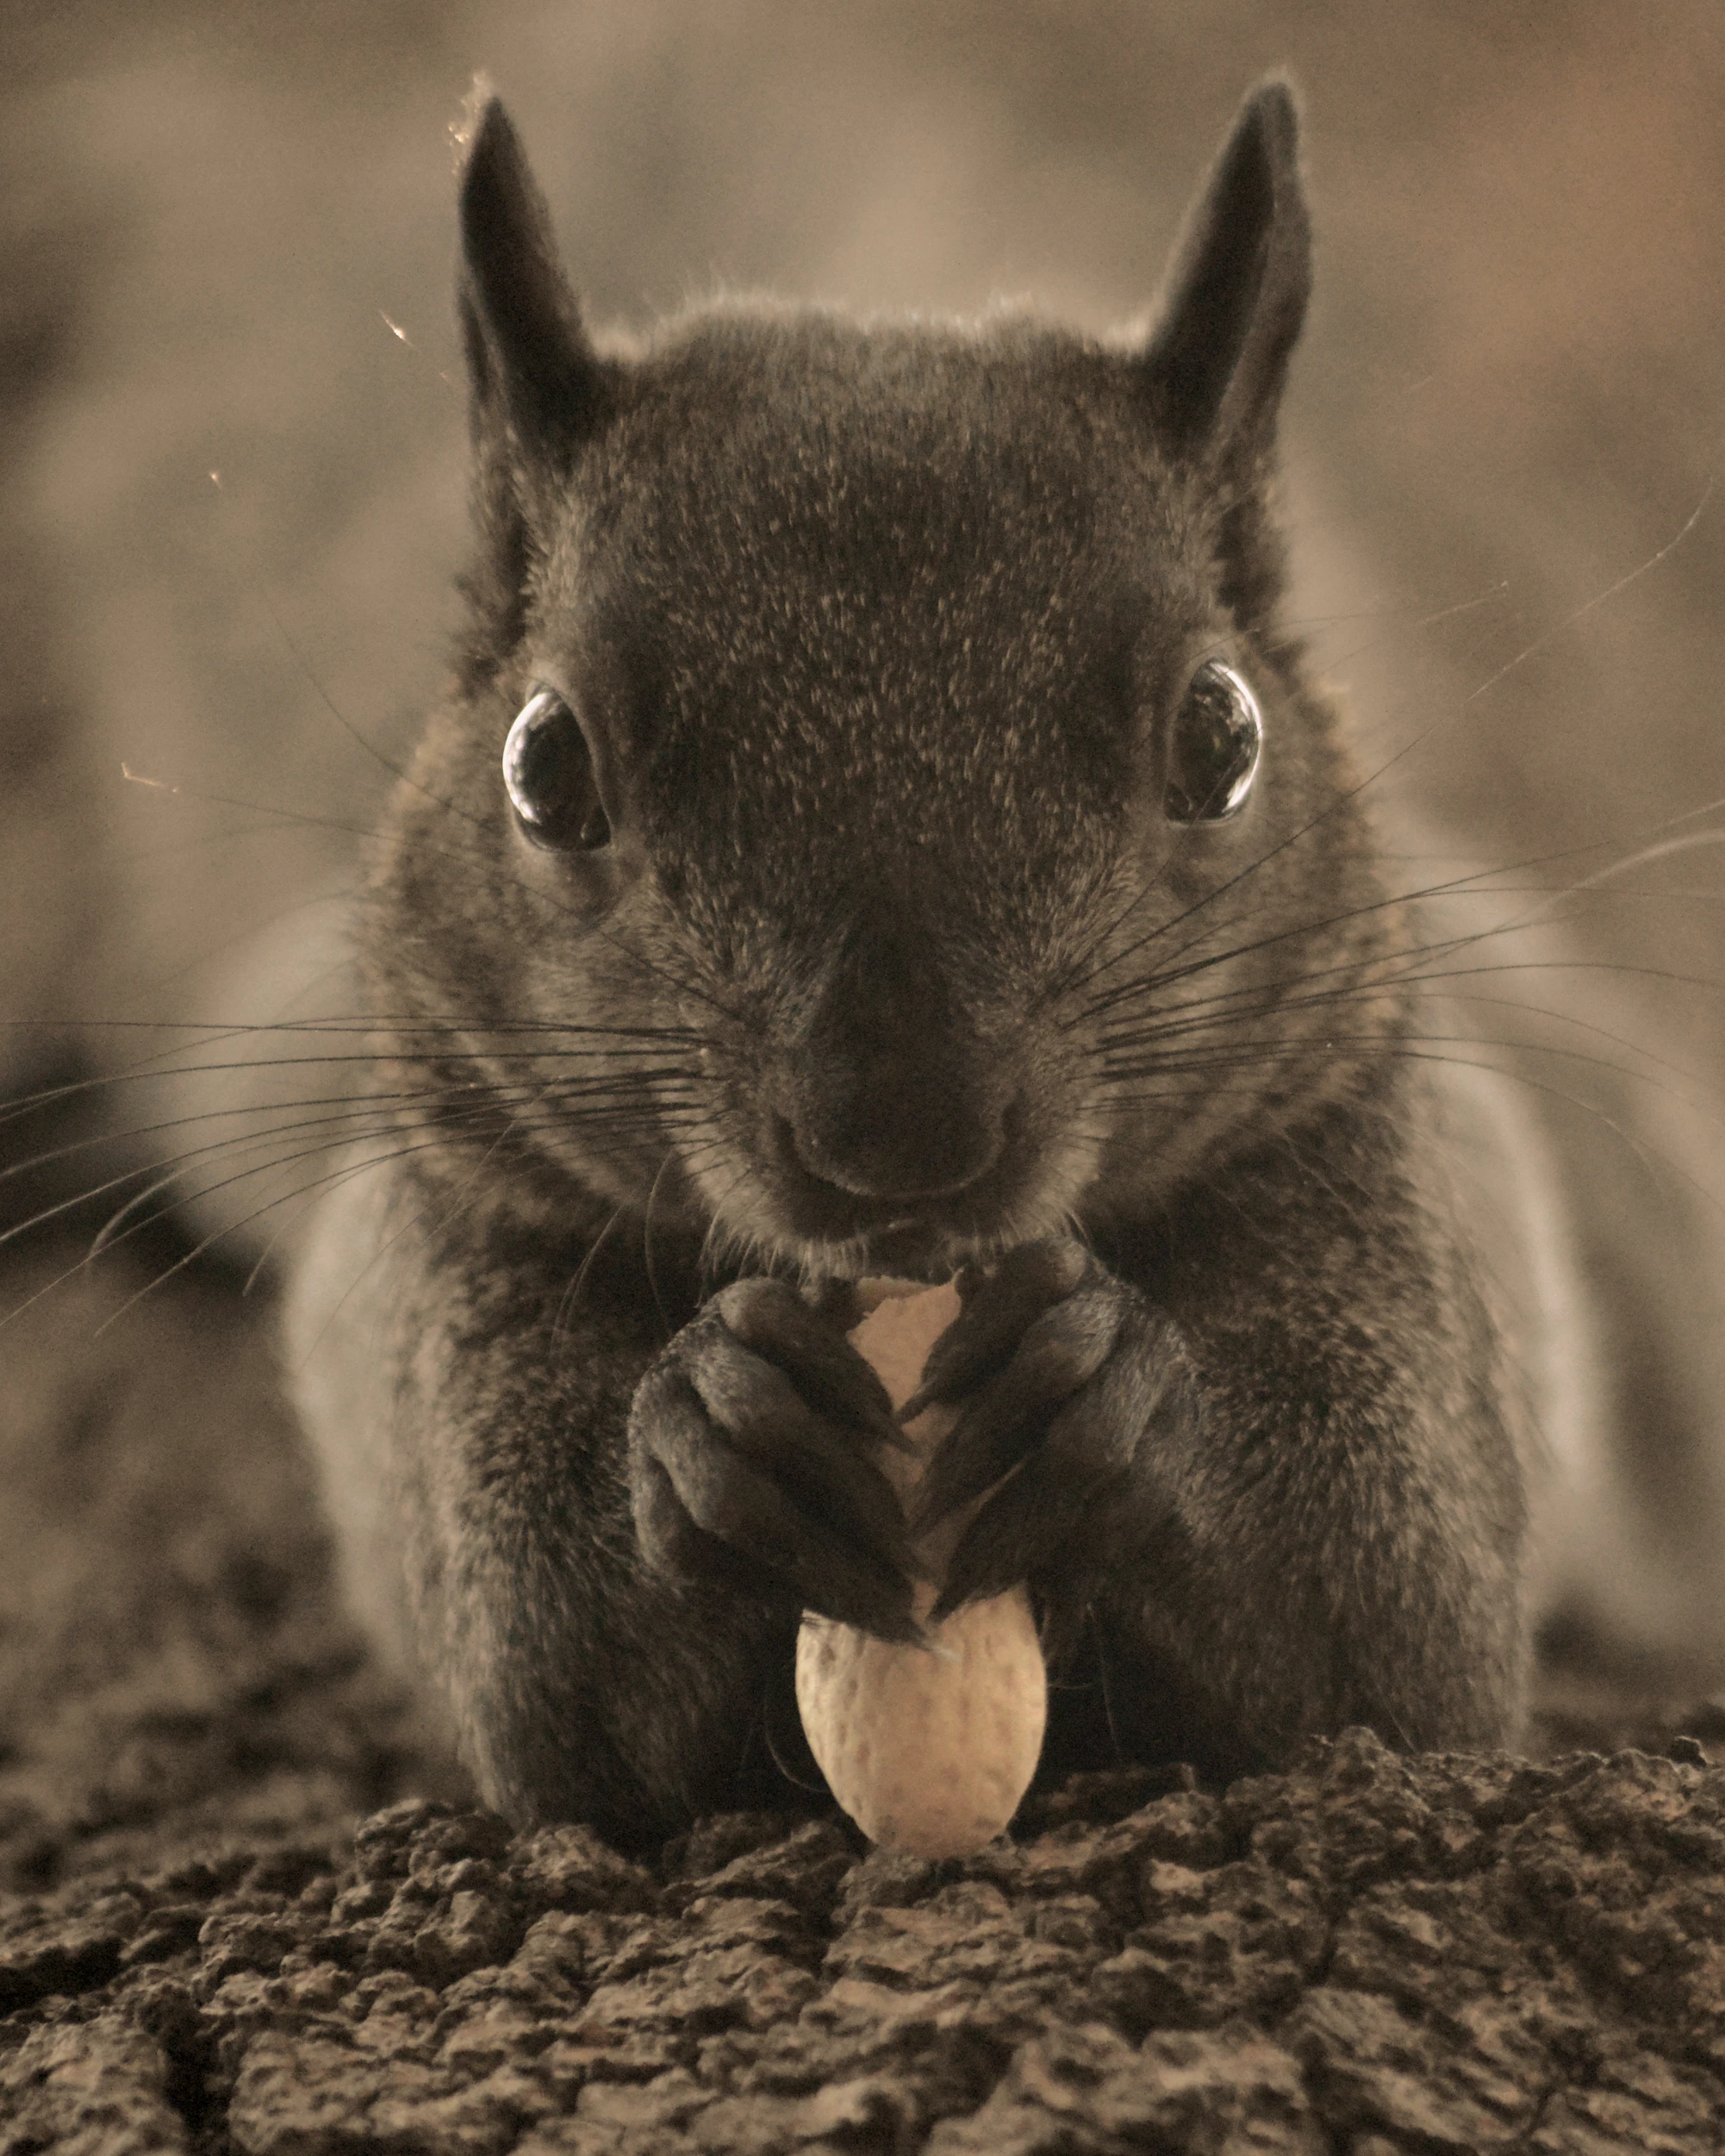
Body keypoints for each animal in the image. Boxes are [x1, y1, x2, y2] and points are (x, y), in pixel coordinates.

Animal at [282, 76, 1725, 1845]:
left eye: (1221, 736)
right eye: (543, 763)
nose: (902, 1133)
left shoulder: (1388, 1181)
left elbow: (1387, 1621)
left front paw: (1109, 1390)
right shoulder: (456, 1251)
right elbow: (560, 1693)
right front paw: (707, 1432)